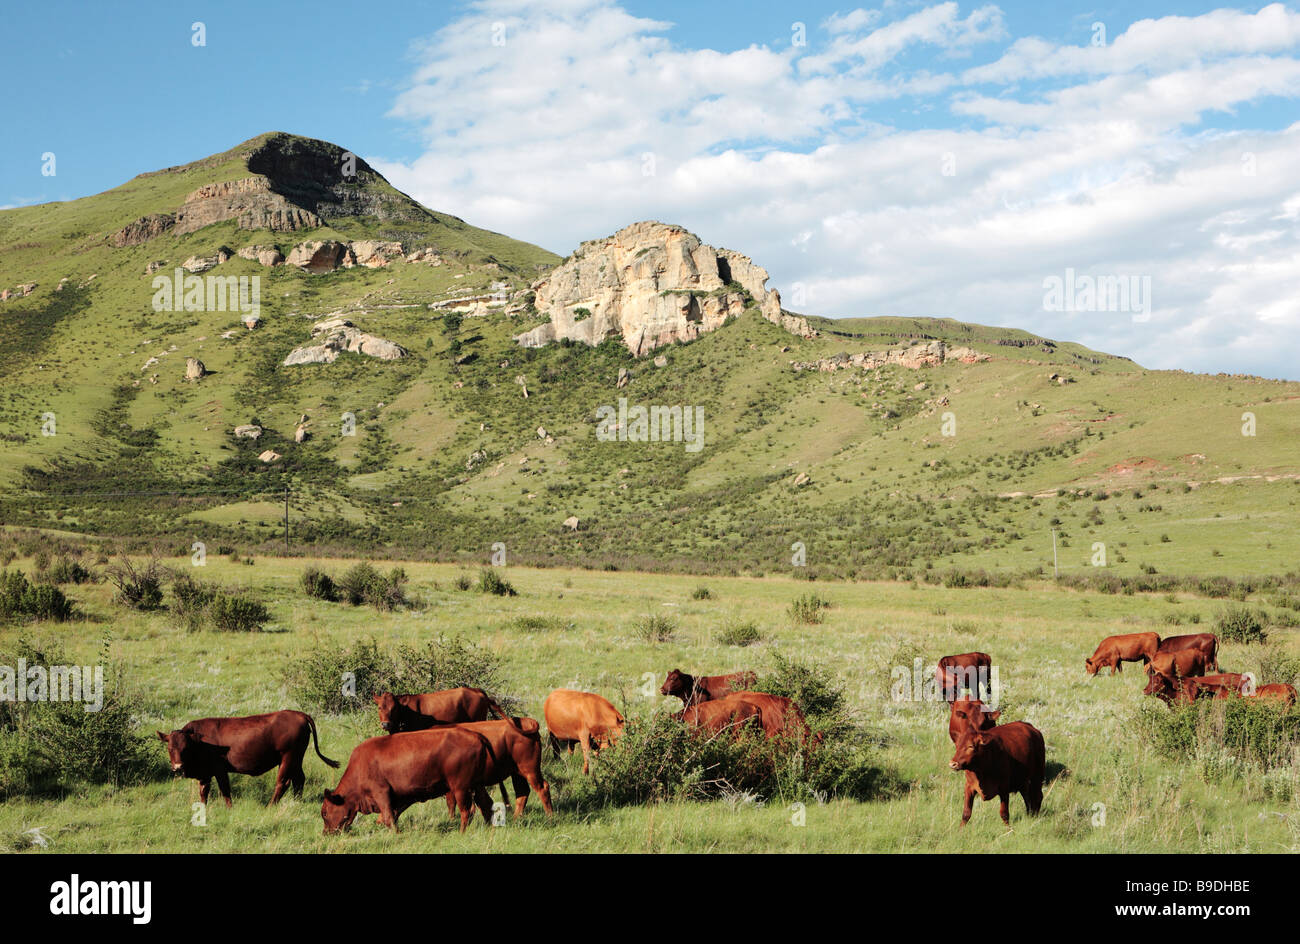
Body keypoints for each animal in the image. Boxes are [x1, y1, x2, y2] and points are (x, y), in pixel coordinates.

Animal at [157, 712, 338, 811]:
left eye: (186, 748)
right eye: (169, 748)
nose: (178, 767)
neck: (201, 741)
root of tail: (298, 714)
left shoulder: (220, 770)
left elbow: (225, 790)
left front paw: (230, 809)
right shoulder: (205, 773)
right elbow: (203, 792)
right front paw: (203, 808)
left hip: (288, 757)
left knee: (283, 782)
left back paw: (270, 806)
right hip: (295, 759)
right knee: (298, 779)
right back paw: (296, 801)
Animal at [323, 722, 496, 837]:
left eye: (324, 812)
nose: (326, 833)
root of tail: (476, 735)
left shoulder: (381, 792)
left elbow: (388, 818)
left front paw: (397, 835)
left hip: (460, 788)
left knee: (467, 810)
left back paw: (461, 833)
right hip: (478, 785)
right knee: (486, 805)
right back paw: (489, 828)